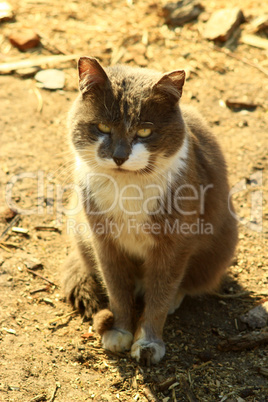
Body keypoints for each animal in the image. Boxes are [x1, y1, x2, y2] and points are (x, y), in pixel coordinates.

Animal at [63, 55, 239, 366]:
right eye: (102, 127)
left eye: (144, 131)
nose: (119, 156)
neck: (126, 187)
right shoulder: (103, 240)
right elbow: (116, 288)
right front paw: (120, 332)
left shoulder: (174, 244)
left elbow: (160, 293)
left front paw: (147, 343)